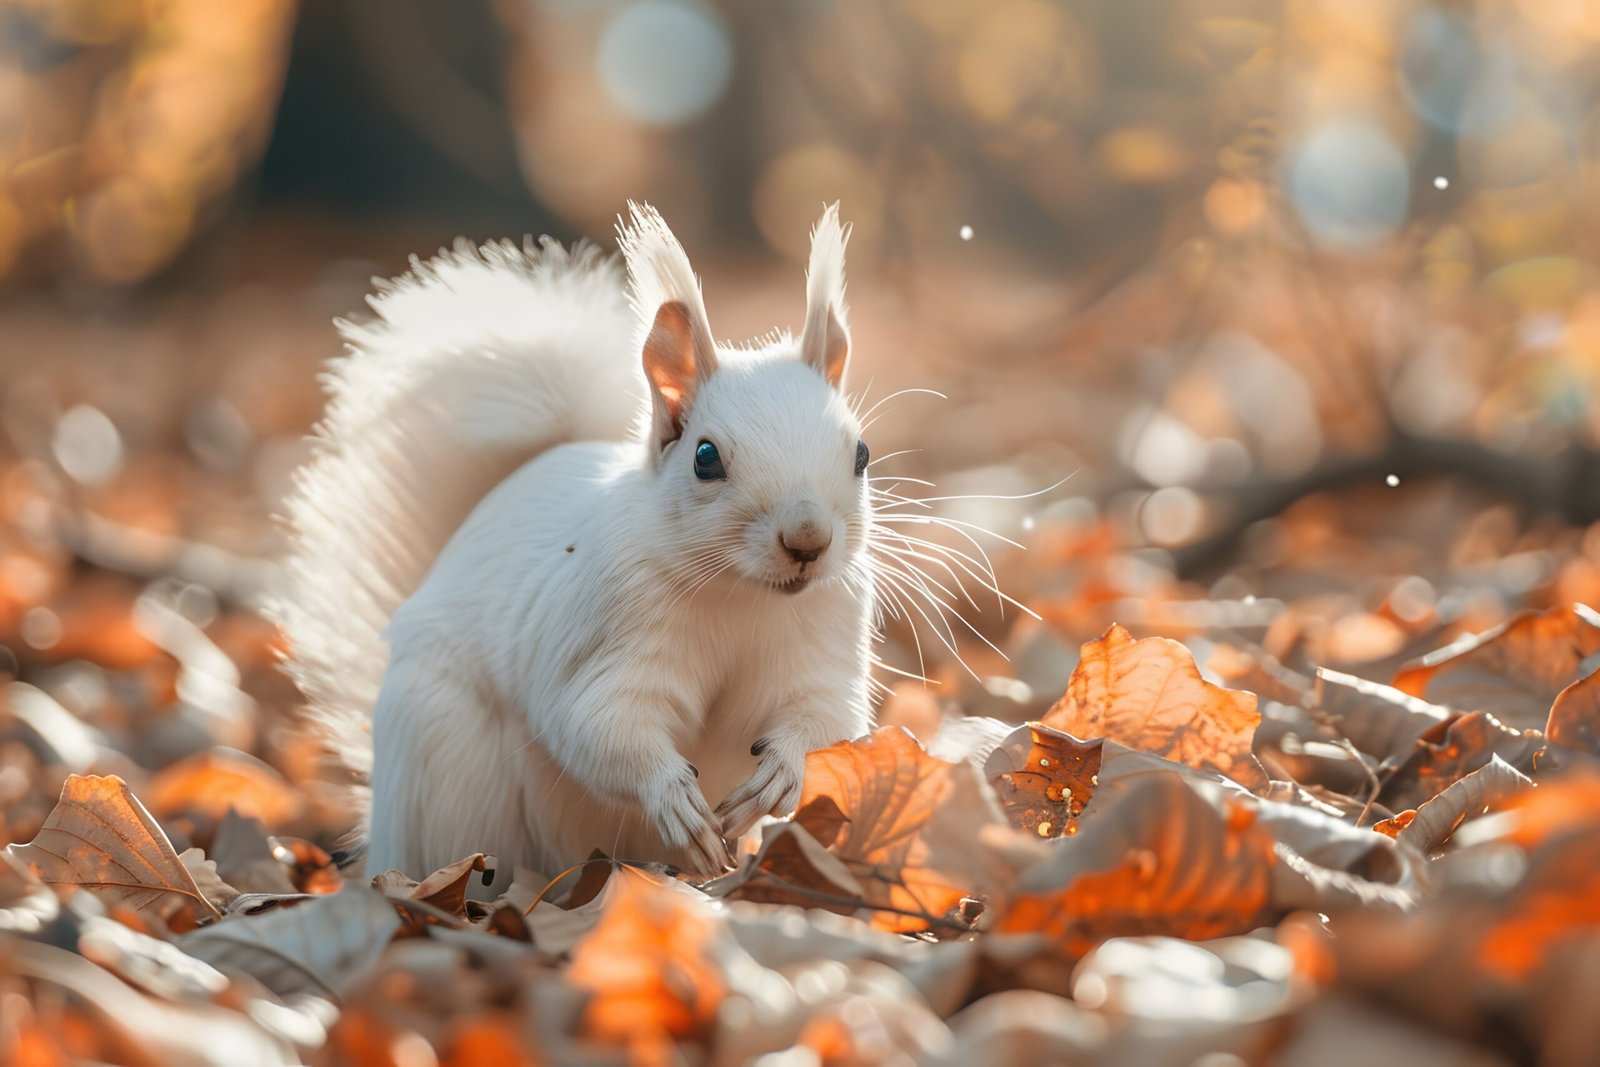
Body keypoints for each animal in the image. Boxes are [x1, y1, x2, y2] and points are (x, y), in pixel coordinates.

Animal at [278, 202, 902, 883]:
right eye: (705, 458)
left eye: (862, 452)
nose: (809, 540)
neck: (741, 594)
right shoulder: (606, 629)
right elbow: (599, 723)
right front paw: (672, 797)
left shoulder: (825, 636)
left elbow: (826, 719)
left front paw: (780, 776)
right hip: (442, 768)